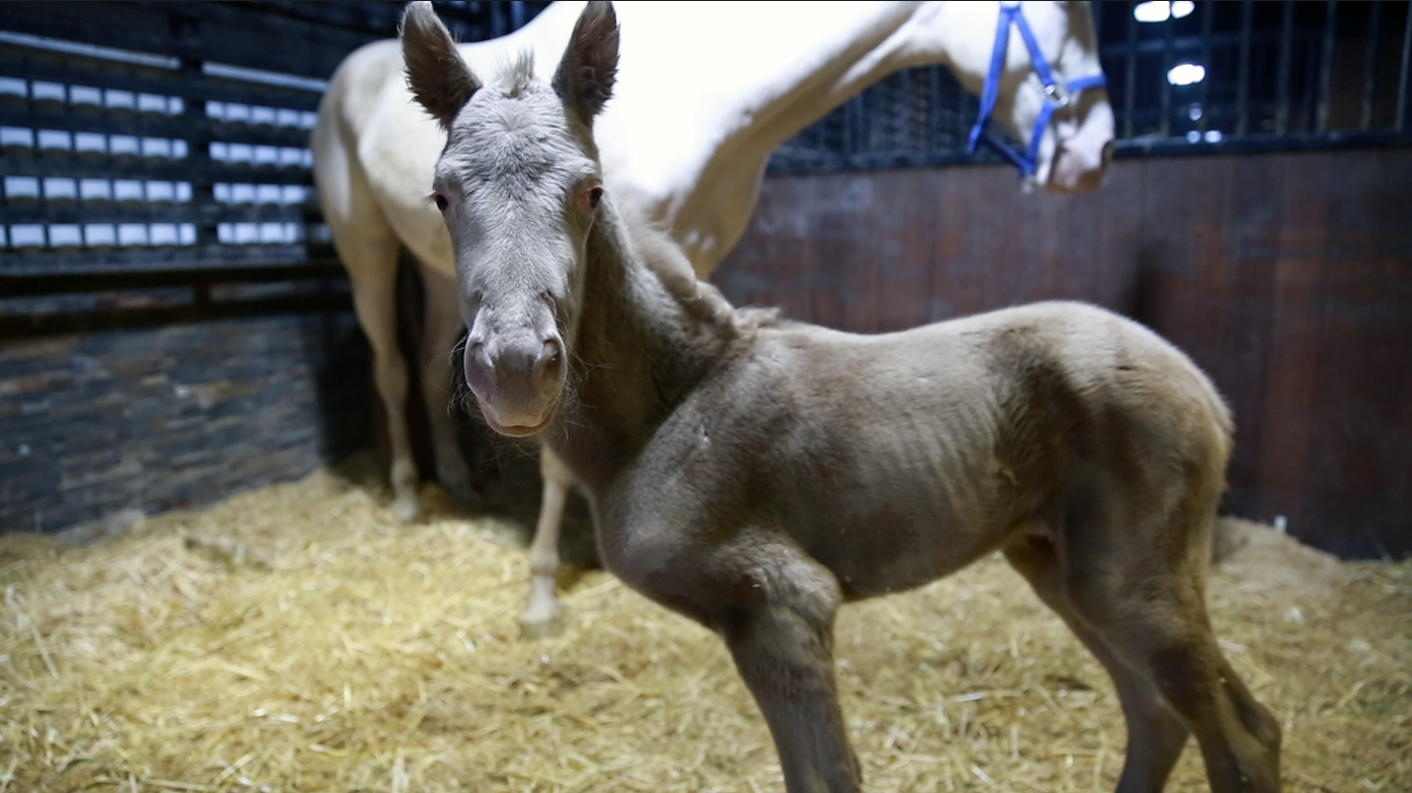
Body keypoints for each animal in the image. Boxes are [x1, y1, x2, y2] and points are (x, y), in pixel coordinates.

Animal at [312, 0, 1112, 629]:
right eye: (1070, 9)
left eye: (592, 192)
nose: (1095, 153)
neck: (707, 85)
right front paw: (541, 592)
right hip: (368, 251)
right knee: (390, 365)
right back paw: (408, 494)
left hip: (434, 270)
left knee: (423, 361)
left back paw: (456, 480)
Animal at [398, 3, 1282, 784]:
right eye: (442, 195)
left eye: (591, 191)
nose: (515, 367)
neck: (672, 403)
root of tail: (1205, 389)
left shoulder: (787, 605)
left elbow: (826, 772)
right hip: (1062, 566)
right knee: (1161, 713)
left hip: (1132, 577)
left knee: (1242, 736)